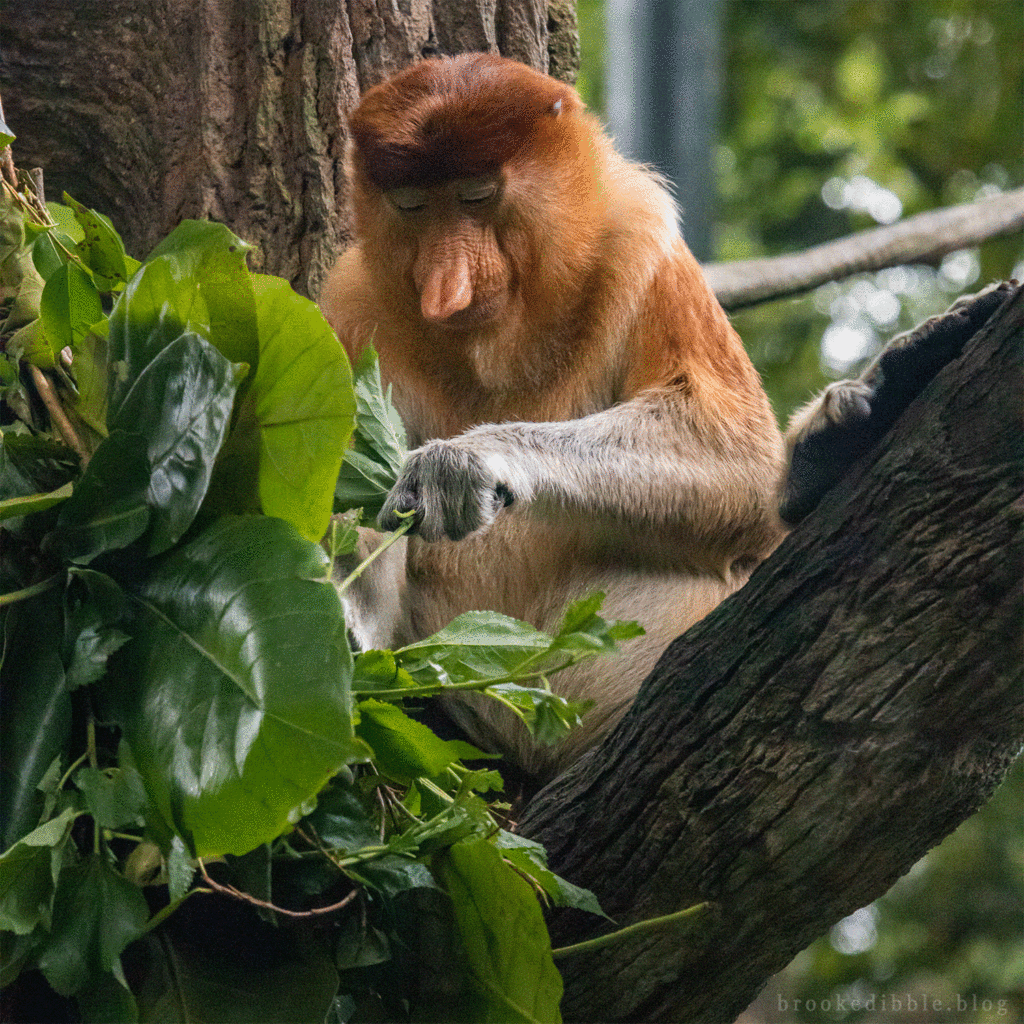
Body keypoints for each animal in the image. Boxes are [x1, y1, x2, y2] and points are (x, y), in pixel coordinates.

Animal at [319, 51, 782, 778]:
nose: (446, 289)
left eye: (478, 193)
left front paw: (462, 464)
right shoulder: (350, 308)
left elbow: (740, 454)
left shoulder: (642, 240)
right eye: (411, 204)